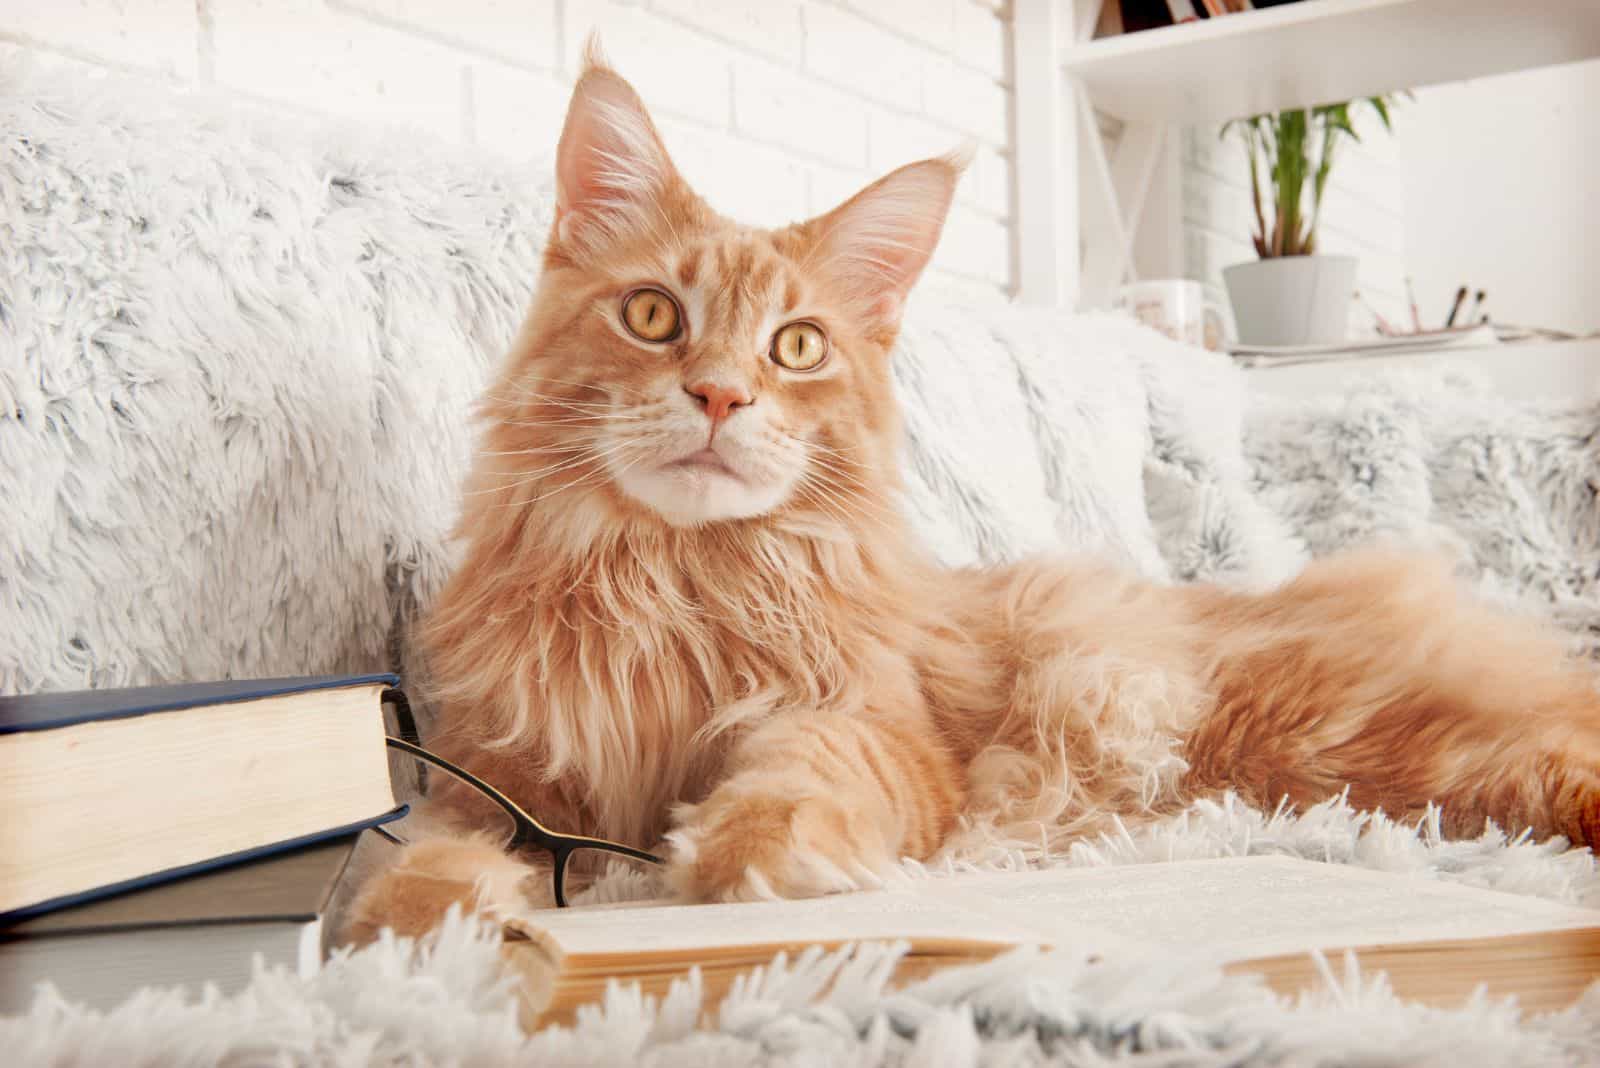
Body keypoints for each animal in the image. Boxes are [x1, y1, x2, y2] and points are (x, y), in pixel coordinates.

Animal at [344, 54, 1593, 940]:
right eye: (653, 315)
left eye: (796, 347)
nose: (719, 395)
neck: (668, 579)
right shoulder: (497, 769)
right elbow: (419, 848)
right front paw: (435, 920)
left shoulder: (876, 726)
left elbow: (804, 776)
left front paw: (746, 853)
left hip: (1361, 749)